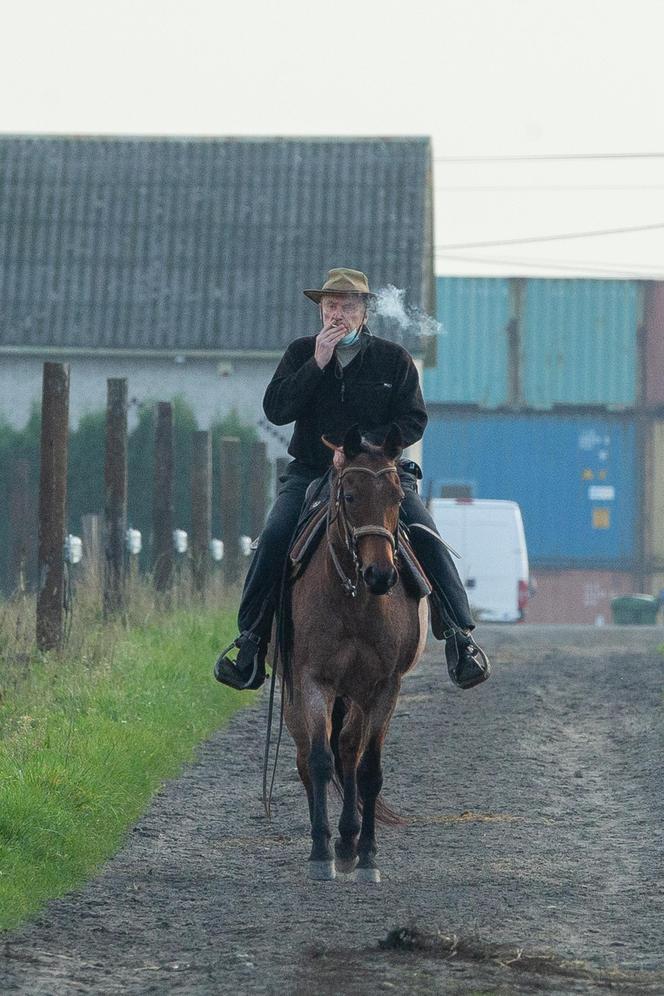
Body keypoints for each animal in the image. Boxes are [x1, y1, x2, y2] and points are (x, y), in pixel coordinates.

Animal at [282, 424, 428, 884]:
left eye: (397, 498)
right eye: (349, 496)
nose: (380, 575)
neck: (356, 601)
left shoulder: (383, 687)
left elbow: (367, 769)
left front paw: (366, 856)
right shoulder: (313, 680)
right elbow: (318, 760)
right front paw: (320, 852)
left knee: (349, 750)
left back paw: (348, 843)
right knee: (307, 757)